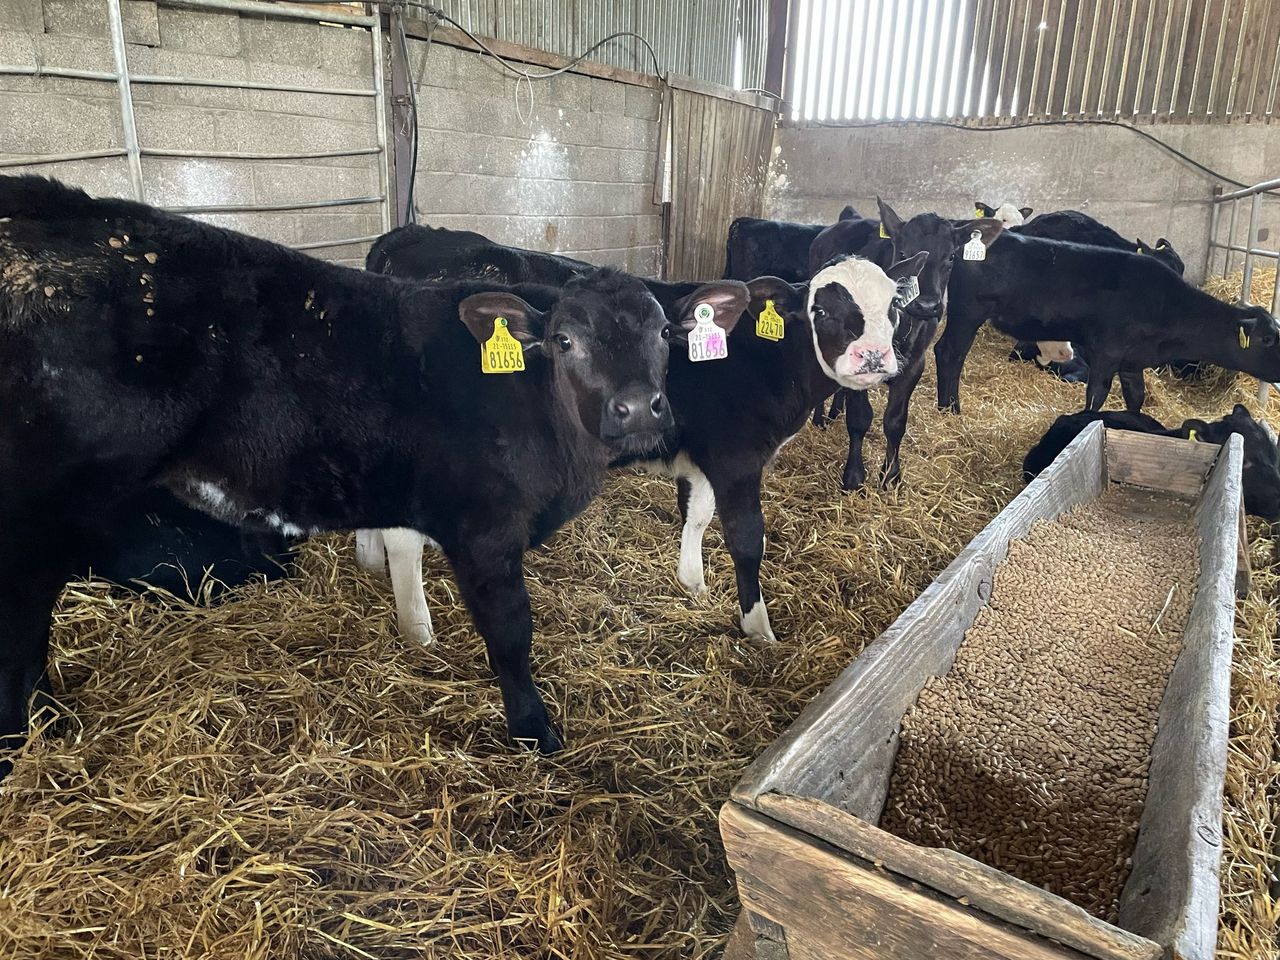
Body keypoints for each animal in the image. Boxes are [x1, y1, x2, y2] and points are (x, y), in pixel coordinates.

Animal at [0, 174, 747, 765]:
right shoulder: (482, 528)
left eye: (663, 333)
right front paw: (534, 731)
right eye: (565, 340)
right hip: (34, 518)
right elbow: (510, 632)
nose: (639, 407)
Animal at [365, 225, 927, 643]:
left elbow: (697, 516)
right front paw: (758, 629)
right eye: (822, 309)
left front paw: (693, 584)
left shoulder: (706, 454)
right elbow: (746, 540)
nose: (874, 357)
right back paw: (419, 631)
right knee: (404, 538)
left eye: (893, 307)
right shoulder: (738, 456)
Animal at [806, 199, 1004, 489]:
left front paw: (891, 476)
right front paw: (854, 477)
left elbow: (895, 421)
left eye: (951, 257)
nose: (927, 305)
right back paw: (820, 418)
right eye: (901, 253)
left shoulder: (914, 365)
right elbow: (860, 418)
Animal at [934, 230, 1280, 415]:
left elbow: (1136, 398)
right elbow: (1096, 396)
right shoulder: (1106, 353)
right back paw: (950, 409)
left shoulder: (1132, 362)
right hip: (967, 313)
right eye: (1267, 339)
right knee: (949, 353)